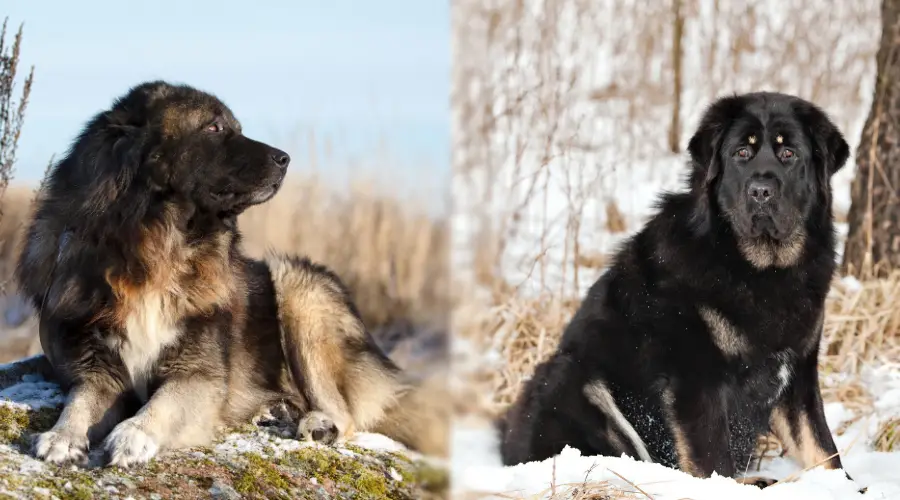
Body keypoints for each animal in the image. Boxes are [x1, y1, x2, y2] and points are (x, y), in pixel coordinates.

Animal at [15, 80, 448, 466]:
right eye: (214, 127)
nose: (285, 158)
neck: (158, 247)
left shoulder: (199, 376)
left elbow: (162, 404)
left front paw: (133, 434)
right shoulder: (98, 369)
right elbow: (81, 401)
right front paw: (61, 436)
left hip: (296, 290)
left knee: (345, 413)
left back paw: (317, 422)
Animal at [500, 91, 852, 484]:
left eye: (788, 153)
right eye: (741, 153)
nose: (760, 191)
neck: (761, 268)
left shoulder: (798, 375)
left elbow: (823, 448)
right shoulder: (694, 379)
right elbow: (714, 461)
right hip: (577, 379)